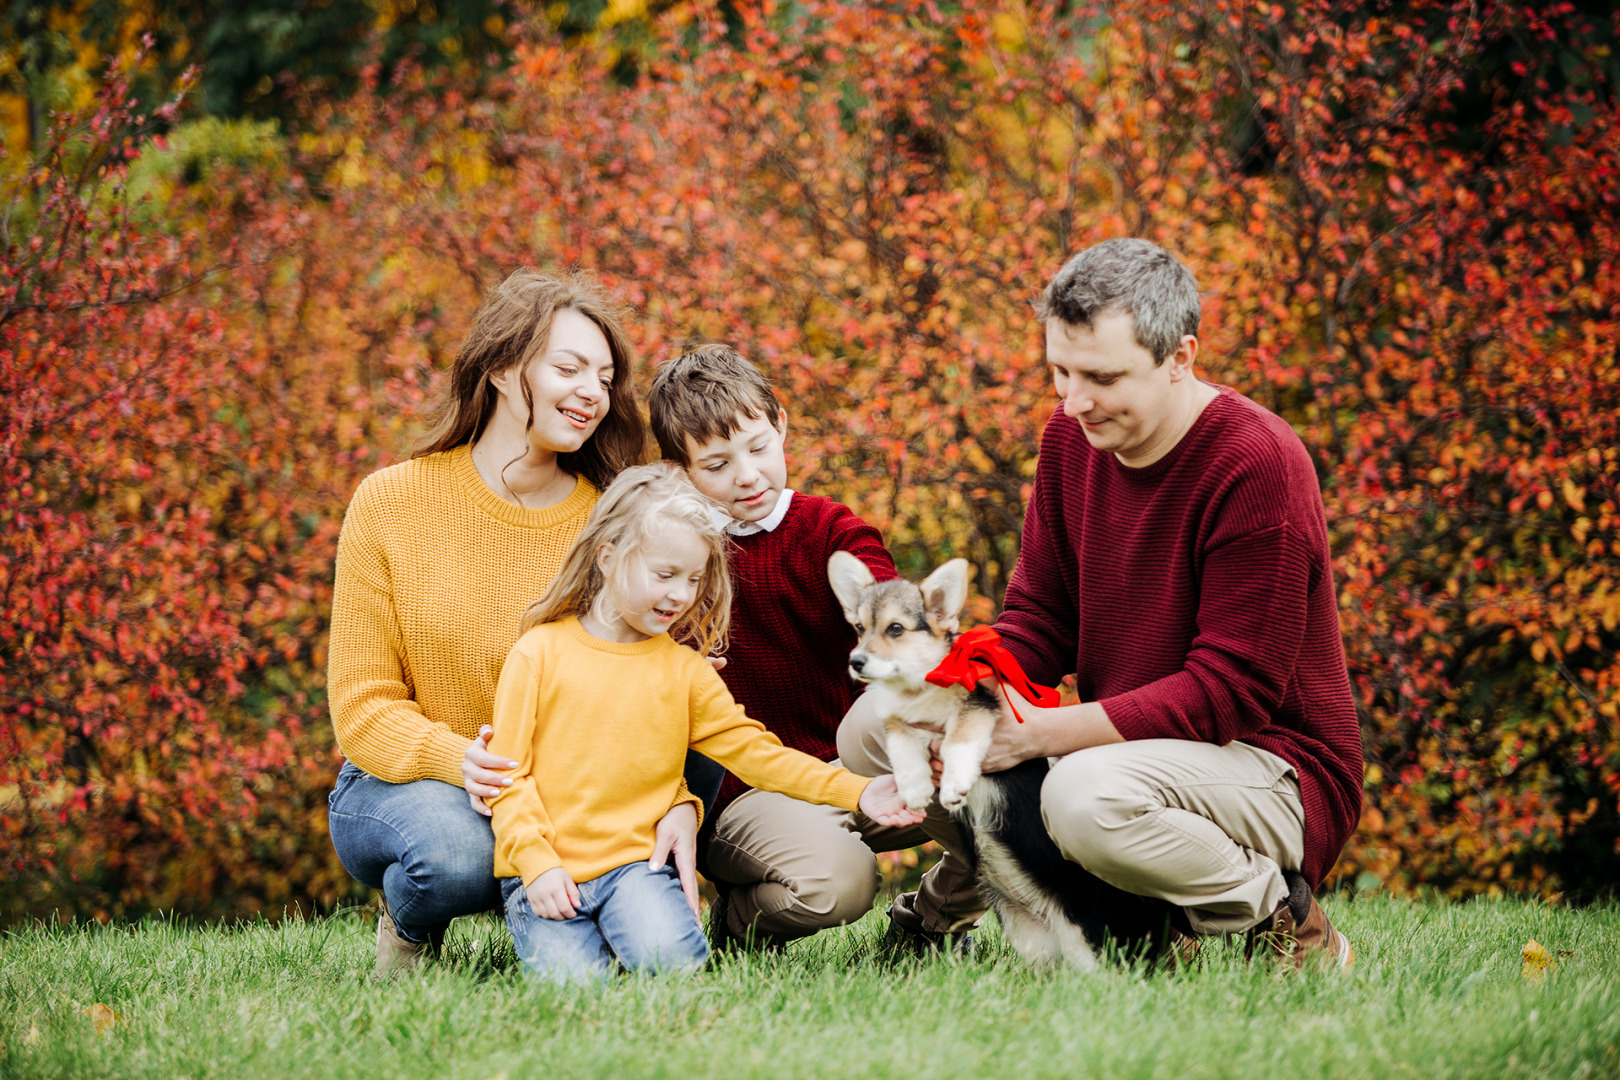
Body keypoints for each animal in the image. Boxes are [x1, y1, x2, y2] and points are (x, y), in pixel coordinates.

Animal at [835, 550, 1179, 971]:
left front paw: (954, 785)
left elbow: (958, 740)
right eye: (859, 627)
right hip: (1025, 929)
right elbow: (903, 749)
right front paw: (914, 790)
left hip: (1088, 927)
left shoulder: (979, 708)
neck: (918, 689)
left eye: (896, 629)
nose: (856, 661)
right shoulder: (901, 725)